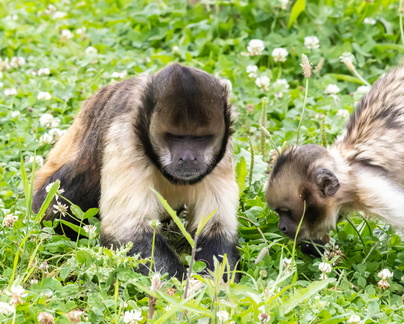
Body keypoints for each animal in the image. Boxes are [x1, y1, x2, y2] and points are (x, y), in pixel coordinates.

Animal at [33, 62, 240, 278]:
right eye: (175, 137)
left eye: (200, 138)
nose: (189, 157)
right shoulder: (124, 132)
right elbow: (129, 232)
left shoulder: (224, 151)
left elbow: (216, 228)